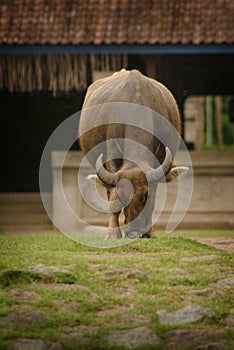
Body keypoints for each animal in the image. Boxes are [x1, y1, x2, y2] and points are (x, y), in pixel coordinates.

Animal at [79, 69, 187, 239]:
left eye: (145, 195)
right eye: (122, 197)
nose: (135, 233)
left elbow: (154, 199)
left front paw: (149, 231)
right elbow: (113, 200)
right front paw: (112, 234)